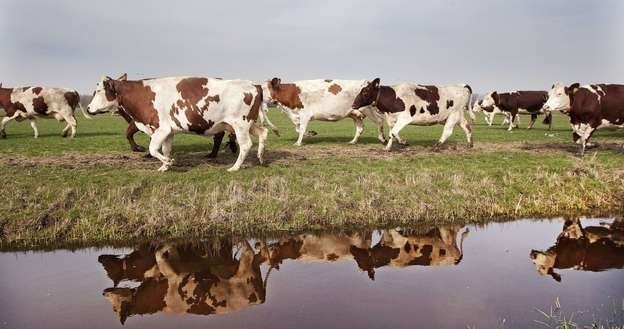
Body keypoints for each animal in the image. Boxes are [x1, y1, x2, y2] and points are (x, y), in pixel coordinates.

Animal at [87, 75, 272, 170]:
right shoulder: (168, 131)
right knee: (263, 132)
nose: (88, 108)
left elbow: (153, 149)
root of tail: (254, 84)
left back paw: (235, 167)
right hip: (248, 123)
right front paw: (164, 167)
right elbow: (165, 149)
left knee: (246, 145)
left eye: (98, 91)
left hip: (240, 124)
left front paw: (168, 163)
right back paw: (261, 158)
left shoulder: (160, 129)